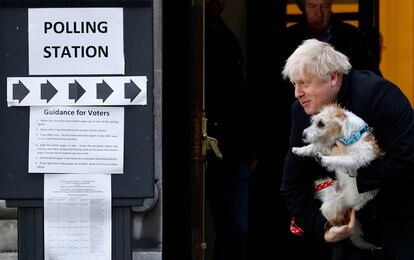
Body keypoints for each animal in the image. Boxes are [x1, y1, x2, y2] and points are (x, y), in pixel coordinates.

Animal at [292, 103, 384, 250]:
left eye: (321, 124)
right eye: (314, 121)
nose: (303, 134)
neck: (348, 136)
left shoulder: (358, 157)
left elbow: (340, 159)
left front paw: (324, 160)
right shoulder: (328, 146)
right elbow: (314, 146)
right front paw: (299, 150)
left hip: (342, 204)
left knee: (340, 220)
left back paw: (355, 209)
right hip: (325, 194)